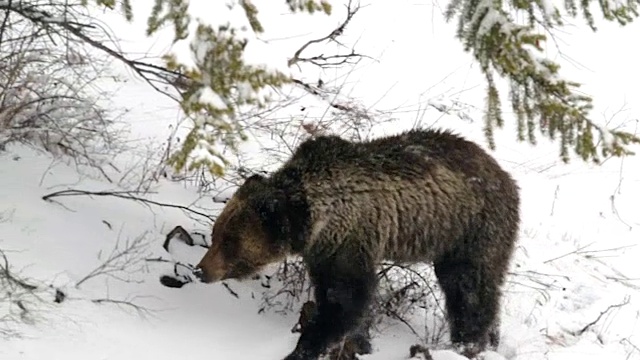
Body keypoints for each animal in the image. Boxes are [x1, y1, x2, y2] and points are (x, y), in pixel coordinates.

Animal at [195, 129, 520, 360]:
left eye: (230, 241)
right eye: (216, 233)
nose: (201, 270)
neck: (315, 218)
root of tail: (508, 178)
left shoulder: (350, 238)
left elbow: (346, 299)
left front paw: (305, 348)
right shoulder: (322, 250)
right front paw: (360, 343)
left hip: (471, 229)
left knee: (468, 288)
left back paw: (467, 343)